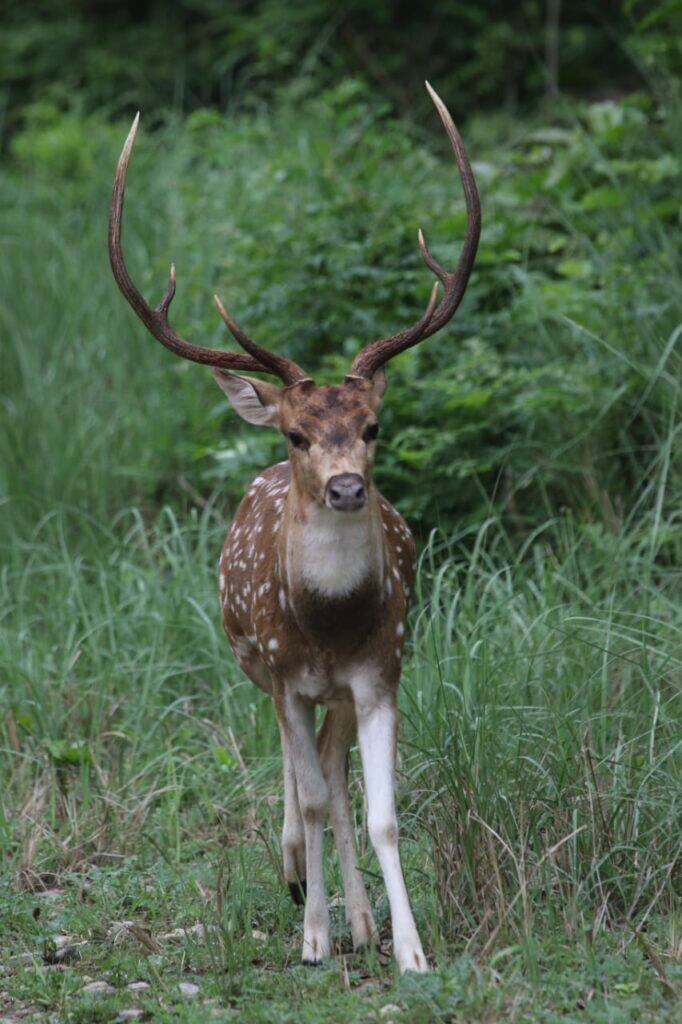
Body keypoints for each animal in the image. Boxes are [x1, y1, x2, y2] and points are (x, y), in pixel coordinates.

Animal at [108, 82, 480, 973]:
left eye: (373, 425)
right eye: (296, 433)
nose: (346, 485)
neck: (328, 624)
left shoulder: (382, 666)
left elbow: (377, 809)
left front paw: (406, 948)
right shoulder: (283, 671)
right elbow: (308, 793)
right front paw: (310, 936)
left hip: (341, 685)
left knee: (336, 774)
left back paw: (358, 918)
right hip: (255, 664)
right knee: (295, 766)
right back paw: (293, 877)